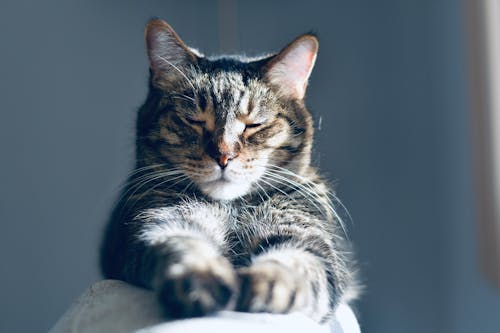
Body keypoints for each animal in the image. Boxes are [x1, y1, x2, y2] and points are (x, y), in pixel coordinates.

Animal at [100, 18, 356, 322]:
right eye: (193, 120)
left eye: (254, 124)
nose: (224, 156)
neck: (231, 208)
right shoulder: (161, 222)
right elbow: (183, 247)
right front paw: (200, 279)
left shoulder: (307, 238)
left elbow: (296, 264)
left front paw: (267, 283)